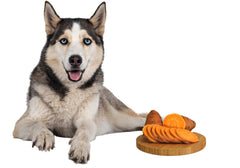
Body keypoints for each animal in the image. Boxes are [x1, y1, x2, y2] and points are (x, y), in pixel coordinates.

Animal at [13, 0, 146, 164]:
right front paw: (44, 135)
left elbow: (83, 131)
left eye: (87, 41)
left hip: (123, 118)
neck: (70, 88)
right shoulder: (23, 122)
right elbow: (37, 124)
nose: (75, 59)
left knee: (142, 118)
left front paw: (80, 147)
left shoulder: (87, 120)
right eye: (64, 40)